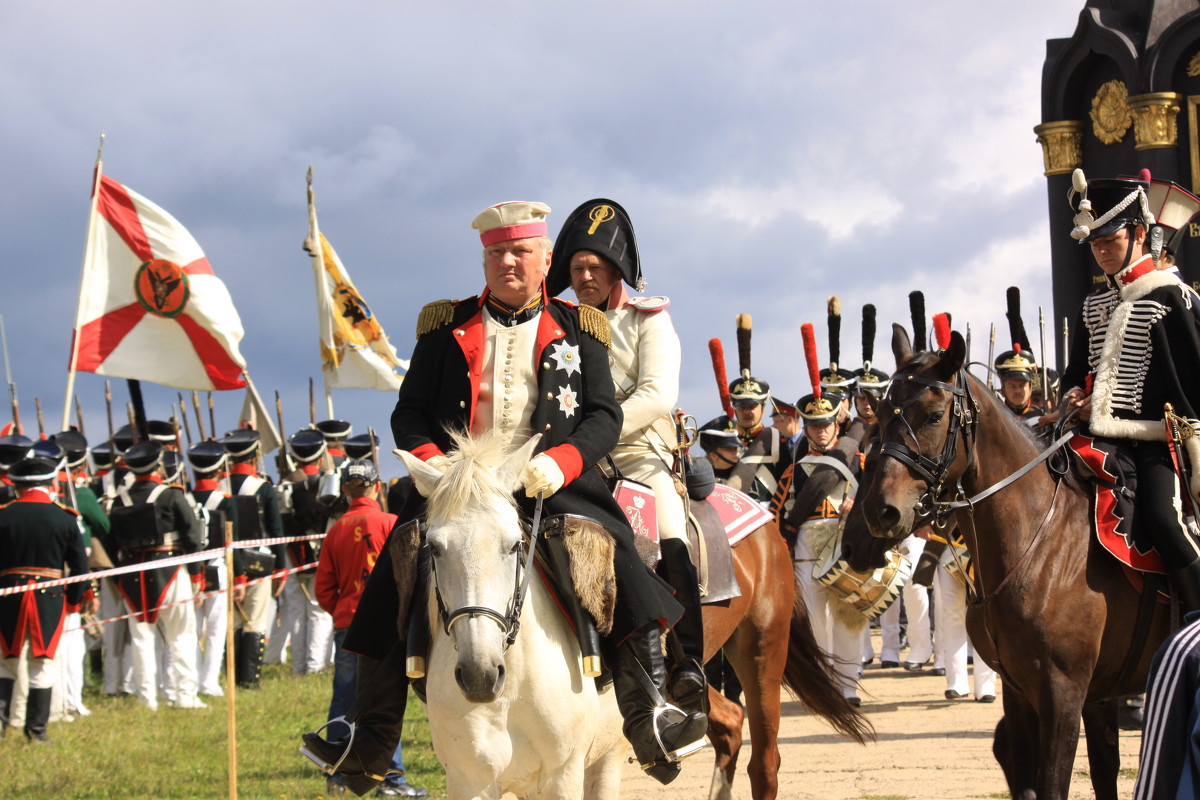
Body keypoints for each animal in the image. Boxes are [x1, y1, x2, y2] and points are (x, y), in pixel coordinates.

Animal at [403, 431, 628, 800]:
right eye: (433, 547)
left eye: (513, 544)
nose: (479, 675)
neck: (511, 693)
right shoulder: (470, 781)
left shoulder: (563, 775)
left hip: (608, 756)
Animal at [844, 326, 1171, 800]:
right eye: (884, 413)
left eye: (934, 416)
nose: (879, 514)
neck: (1043, 548)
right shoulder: (1026, 692)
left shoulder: (1063, 693)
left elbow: (1053, 782)